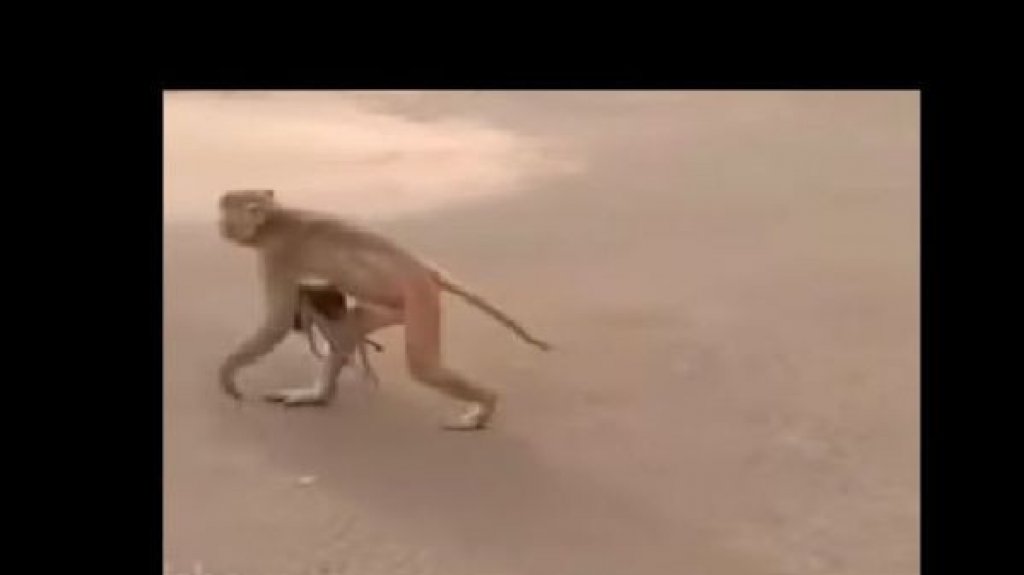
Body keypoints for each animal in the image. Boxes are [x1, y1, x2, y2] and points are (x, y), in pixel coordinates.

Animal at [217, 189, 552, 430]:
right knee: (355, 323)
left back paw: (485, 407)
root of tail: (426, 270)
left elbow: (277, 322)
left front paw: (228, 373)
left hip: (419, 297)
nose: (220, 225)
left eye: (226, 212)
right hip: (400, 303)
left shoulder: (278, 256)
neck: (276, 218)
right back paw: (320, 394)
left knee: (423, 366)